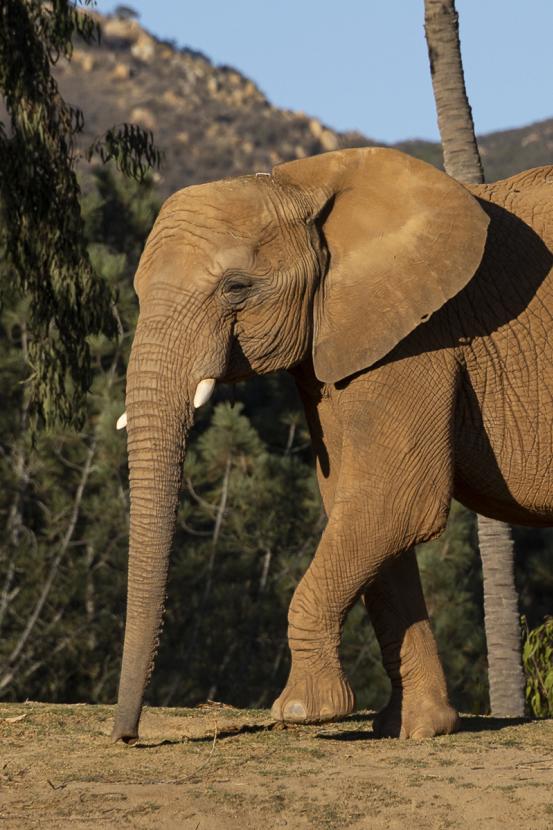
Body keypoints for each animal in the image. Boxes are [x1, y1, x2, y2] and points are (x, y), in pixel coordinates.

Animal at [111, 147, 553, 743]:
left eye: (236, 288)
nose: (126, 736)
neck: (304, 185)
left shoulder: (421, 334)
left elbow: (394, 500)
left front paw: (305, 712)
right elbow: (356, 504)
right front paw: (415, 728)